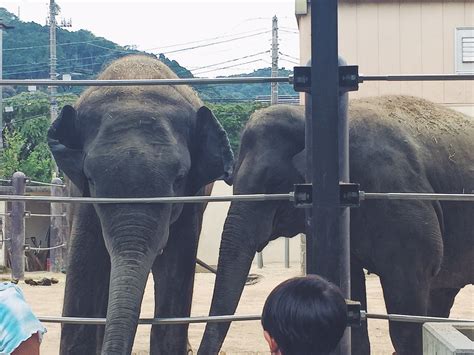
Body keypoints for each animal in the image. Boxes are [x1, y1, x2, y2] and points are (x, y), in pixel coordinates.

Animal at [47, 54, 233, 354]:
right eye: (91, 178)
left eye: (179, 179)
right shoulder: (84, 197)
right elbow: (86, 268)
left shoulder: (190, 201)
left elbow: (175, 272)